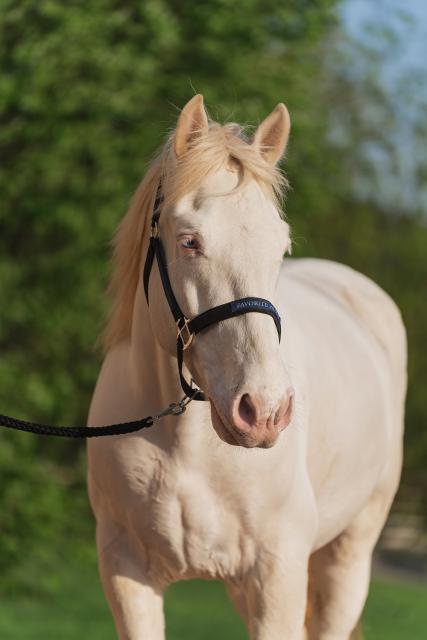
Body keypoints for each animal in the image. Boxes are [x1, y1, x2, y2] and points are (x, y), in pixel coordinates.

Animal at [87, 94, 406, 639]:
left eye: (281, 246)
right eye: (189, 241)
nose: (264, 410)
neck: (186, 448)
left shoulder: (277, 577)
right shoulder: (125, 574)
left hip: (349, 555)